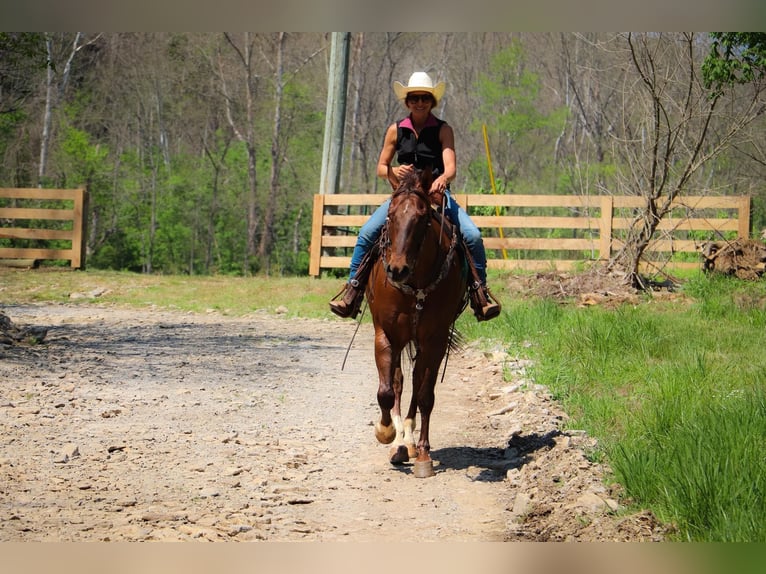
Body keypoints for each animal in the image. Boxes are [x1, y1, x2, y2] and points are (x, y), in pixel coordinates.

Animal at [366, 169, 468, 480]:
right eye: (390, 215)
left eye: (422, 218)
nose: (397, 269)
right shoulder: (386, 335)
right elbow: (386, 391)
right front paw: (385, 432)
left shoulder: (435, 340)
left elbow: (425, 396)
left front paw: (423, 454)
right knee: (398, 381)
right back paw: (399, 442)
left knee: (415, 381)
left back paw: (409, 442)